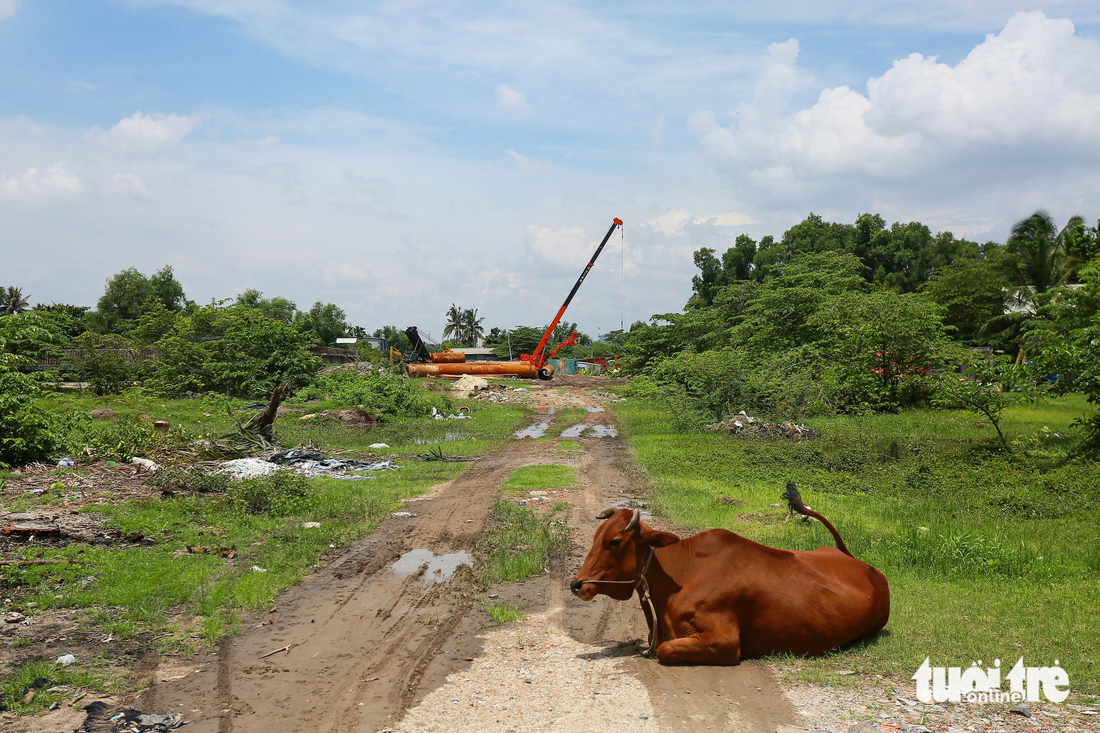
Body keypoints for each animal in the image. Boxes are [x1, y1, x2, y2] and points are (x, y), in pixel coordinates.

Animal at [572, 484, 888, 660]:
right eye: (596, 535)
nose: (577, 584)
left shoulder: (724, 642)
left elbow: (665, 650)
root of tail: (865, 566)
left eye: (615, 541)